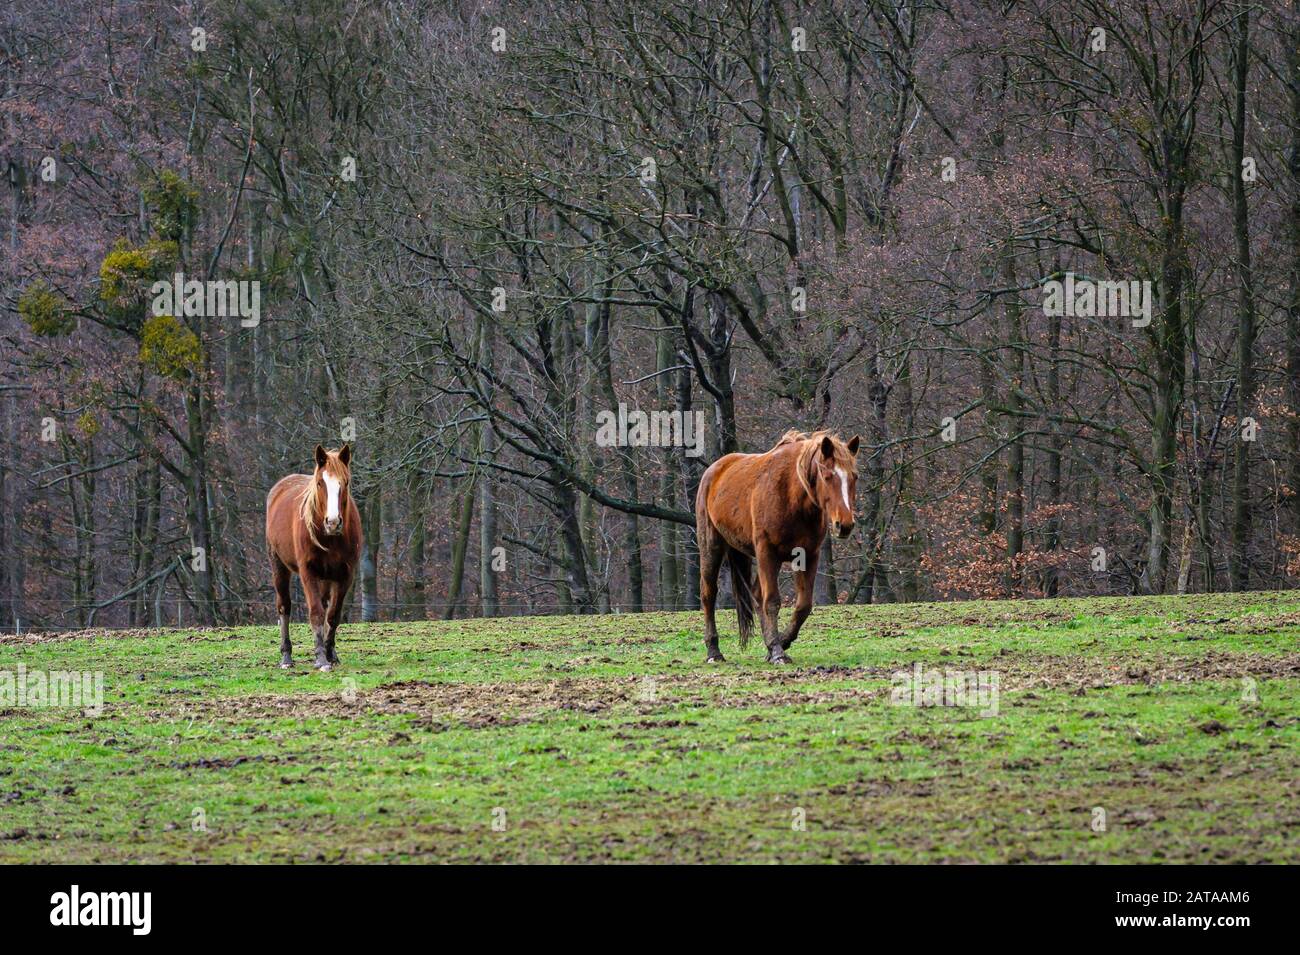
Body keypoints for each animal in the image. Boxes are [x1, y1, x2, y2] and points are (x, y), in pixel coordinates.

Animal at [265, 441, 364, 670]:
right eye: (320, 483)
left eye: (345, 482)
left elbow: (333, 615)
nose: (333, 522)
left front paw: (329, 653)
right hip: (278, 566)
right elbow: (316, 613)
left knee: (327, 605)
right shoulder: (307, 573)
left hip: (326, 577)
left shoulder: (346, 575)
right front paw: (320, 658)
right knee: (284, 606)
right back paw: (286, 657)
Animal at [696, 431, 857, 665]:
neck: (791, 496)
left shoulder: (808, 556)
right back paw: (714, 651)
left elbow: (803, 605)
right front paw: (778, 650)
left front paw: (781, 642)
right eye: (828, 476)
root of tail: (715, 469)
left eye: (854, 477)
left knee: (755, 595)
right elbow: (772, 601)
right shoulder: (767, 552)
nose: (844, 525)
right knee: (709, 594)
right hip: (712, 548)